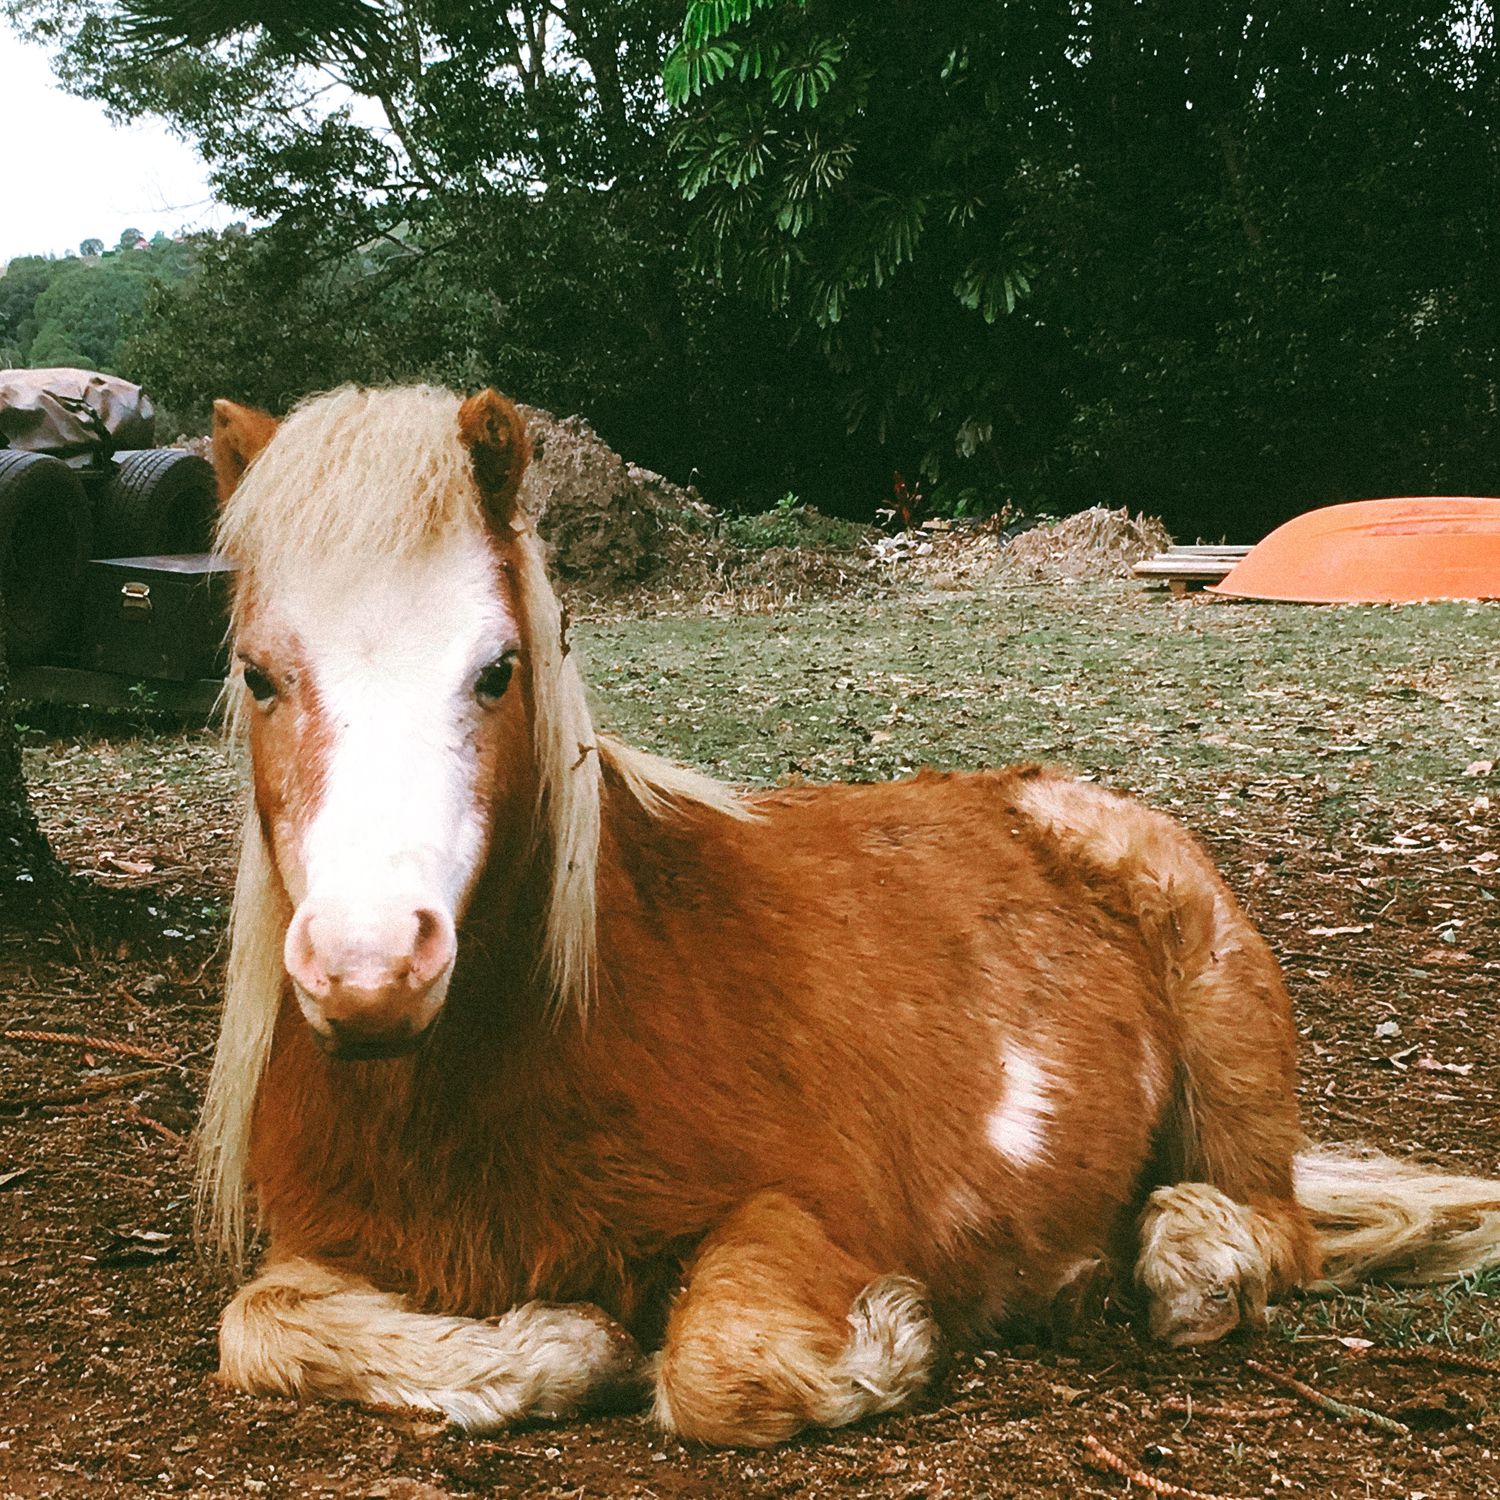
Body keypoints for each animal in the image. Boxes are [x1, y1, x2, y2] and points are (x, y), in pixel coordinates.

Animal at [201, 385, 1500, 1447]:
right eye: (260, 675)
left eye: (496, 669)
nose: (369, 969)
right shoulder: (322, 1248)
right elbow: (254, 1325)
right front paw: (546, 1346)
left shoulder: (808, 1210)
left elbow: (719, 1362)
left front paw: (889, 1343)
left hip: (1226, 1049)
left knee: (1268, 1226)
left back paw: (1165, 1263)